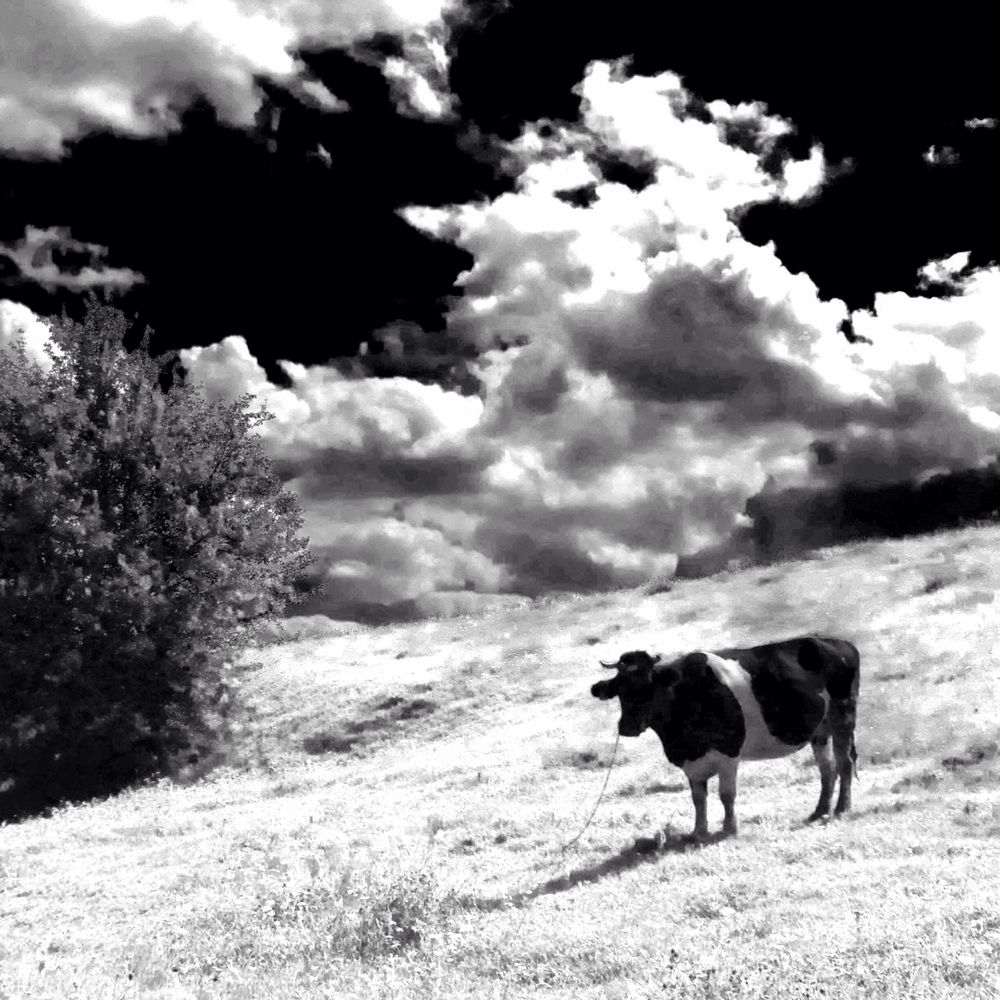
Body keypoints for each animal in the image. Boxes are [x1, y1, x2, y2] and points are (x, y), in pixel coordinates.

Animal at [590, 636, 860, 841]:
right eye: (619, 690)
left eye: (649, 686)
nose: (628, 726)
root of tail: (841, 642)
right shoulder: (692, 763)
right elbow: (698, 798)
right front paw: (699, 831)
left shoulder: (728, 753)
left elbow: (726, 794)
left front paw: (729, 828)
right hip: (820, 730)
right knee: (827, 768)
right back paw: (819, 811)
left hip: (843, 715)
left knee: (844, 762)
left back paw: (841, 808)